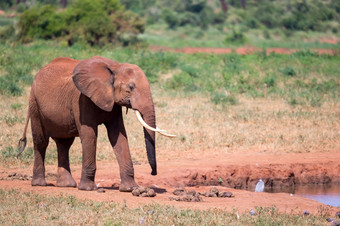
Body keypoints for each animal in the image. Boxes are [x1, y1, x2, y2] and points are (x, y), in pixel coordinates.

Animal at [16, 56, 174, 191]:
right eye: (130, 87)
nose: (153, 173)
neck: (114, 66)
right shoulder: (81, 99)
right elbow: (90, 135)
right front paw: (88, 188)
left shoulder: (112, 101)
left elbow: (118, 136)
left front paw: (130, 188)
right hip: (34, 103)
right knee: (41, 141)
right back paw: (39, 184)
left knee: (64, 144)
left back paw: (67, 185)